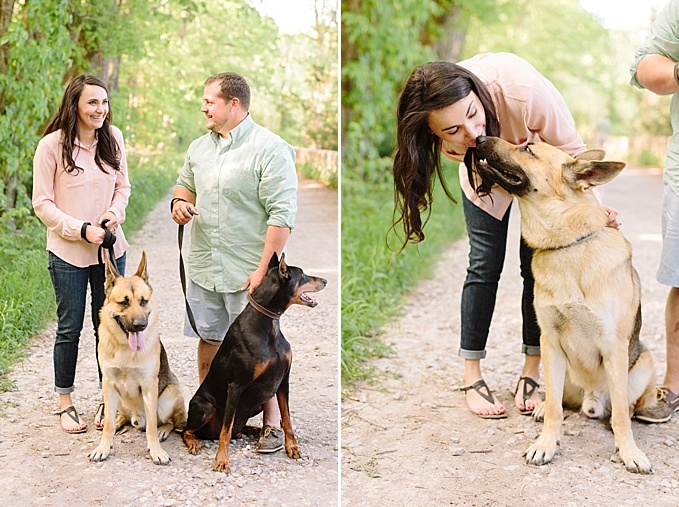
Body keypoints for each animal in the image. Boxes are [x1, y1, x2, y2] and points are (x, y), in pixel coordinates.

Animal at [89, 252, 189, 466]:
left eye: (143, 301)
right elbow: (108, 424)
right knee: (118, 416)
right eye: (123, 302)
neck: (125, 349)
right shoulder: (108, 383)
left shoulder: (149, 386)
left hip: (168, 395)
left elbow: (151, 426)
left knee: (168, 421)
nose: (140, 325)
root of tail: (136, 418)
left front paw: (156, 451)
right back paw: (119, 421)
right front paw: (103, 447)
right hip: (115, 397)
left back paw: (163, 430)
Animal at [182, 252, 328, 474]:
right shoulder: (236, 385)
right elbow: (225, 430)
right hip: (204, 405)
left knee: (235, 428)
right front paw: (222, 460)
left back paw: (252, 429)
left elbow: (287, 419)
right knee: (189, 431)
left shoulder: (283, 380)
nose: (326, 280)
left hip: (258, 402)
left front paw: (292, 447)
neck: (268, 323)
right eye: (303, 275)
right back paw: (194, 442)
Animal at [476, 137, 660, 474]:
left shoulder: (614, 348)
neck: (568, 246)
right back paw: (540, 408)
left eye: (527, 148)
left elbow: (620, 417)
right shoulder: (549, 343)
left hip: (642, 364)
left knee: (623, 406)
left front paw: (629, 451)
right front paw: (545, 444)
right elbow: (554, 410)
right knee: (557, 399)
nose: (480, 138)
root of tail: (591, 398)